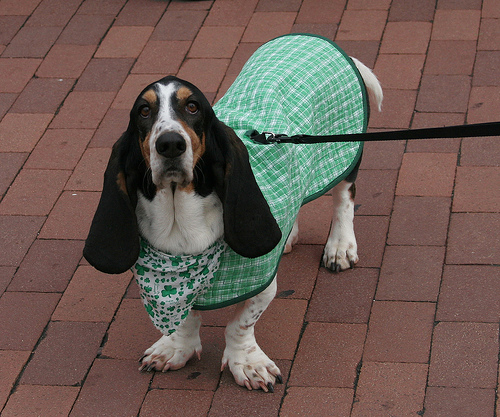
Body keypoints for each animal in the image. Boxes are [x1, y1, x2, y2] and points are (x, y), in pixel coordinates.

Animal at [84, 34, 382, 392]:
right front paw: (175, 349)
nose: (170, 144)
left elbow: (240, 324)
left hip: (345, 151)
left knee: (343, 198)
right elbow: (187, 321)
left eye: (193, 106)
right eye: (144, 111)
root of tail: (315, 40)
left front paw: (248, 365)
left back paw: (340, 247)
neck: (179, 223)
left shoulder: (262, 286)